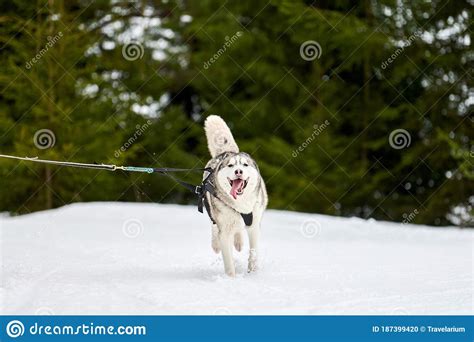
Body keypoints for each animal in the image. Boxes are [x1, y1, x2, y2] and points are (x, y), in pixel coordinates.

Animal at [204, 116, 268, 276]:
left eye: (245, 165)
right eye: (231, 166)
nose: (238, 171)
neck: (240, 205)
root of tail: (227, 151)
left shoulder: (254, 225)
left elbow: (253, 252)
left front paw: (253, 272)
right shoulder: (224, 231)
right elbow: (228, 261)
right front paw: (231, 278)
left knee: (238, 230)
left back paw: (238, 242)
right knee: (214, 227)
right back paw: (216, 244)